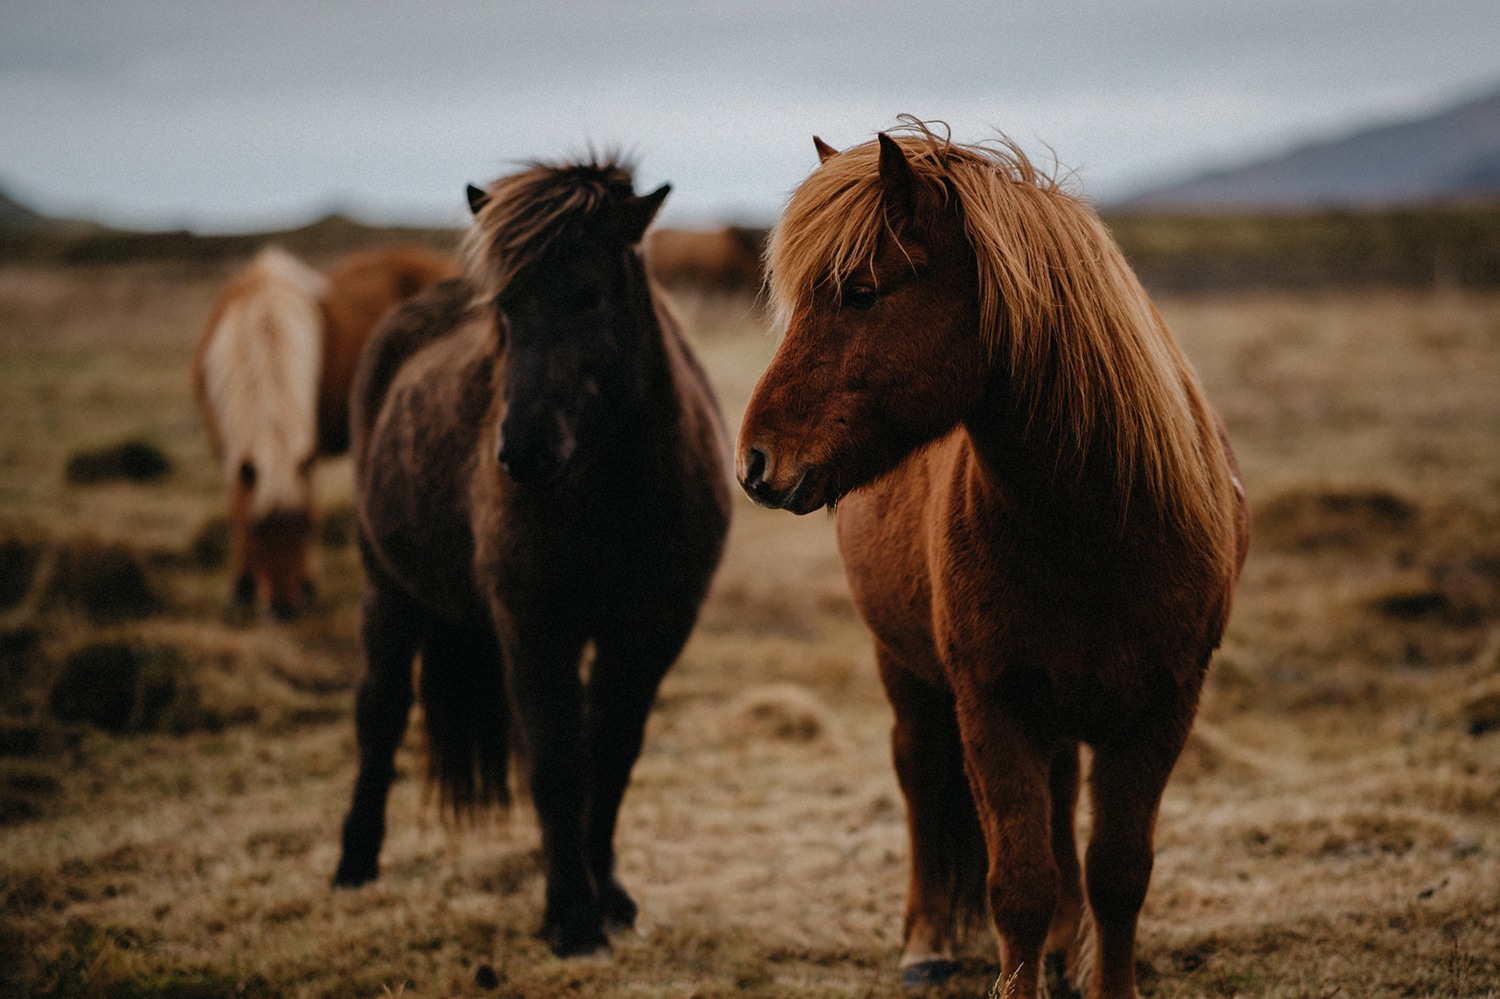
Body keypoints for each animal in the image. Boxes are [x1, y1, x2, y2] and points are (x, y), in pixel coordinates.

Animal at [192, 243, 456, 615]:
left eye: (305, 527)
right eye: (258, 532)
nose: (284, 609)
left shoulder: (307, 448)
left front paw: (308, 584)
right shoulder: (225, 448)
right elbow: (238, 506)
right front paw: (240, 588)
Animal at [334, 157, 732, 960]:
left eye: (591, 293)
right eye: (507, 306)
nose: (522, 450)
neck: (616, 495)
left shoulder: (650, 631)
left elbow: (611, 756)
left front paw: (607, 895)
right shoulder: (536, 625)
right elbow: (556, 762)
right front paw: (573, 918)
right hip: (388, 592)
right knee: (380, 713)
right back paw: (354, 863)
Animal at [735, 124, 1242, 996]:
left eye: (860, 291)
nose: (756, 461)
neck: (1097, 532)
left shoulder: (1166, 704)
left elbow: (1117, 873)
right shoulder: (992, 704)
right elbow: (1020, 884)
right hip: (904, 666)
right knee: (916, 773)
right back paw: (926, 943)